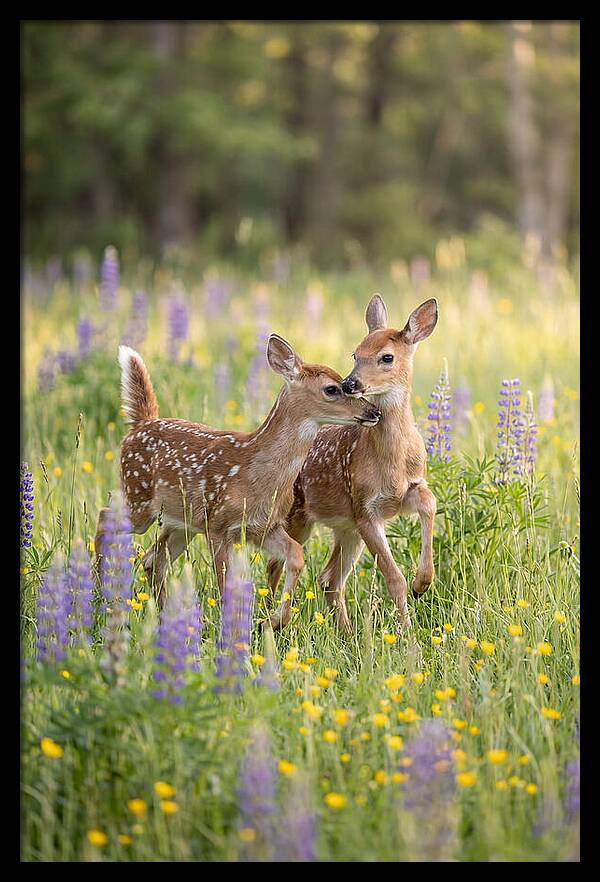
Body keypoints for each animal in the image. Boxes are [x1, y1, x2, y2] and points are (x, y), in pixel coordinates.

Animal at [94, 336, 381, 620]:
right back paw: (99, 591)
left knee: (152, 560)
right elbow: (226, 585)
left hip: (182, 523)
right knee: (106, 516)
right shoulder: (218, 526)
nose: (374, 412)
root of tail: (140, 425)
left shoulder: (264, 526)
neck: (255, 473)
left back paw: (164, 614)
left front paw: (275, 621)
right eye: (332, 389)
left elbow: (296, 555)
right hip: (139, 498)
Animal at [266, 295, 439, 633]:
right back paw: (267, 620)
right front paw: (409, 635)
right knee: (275, 565)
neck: (392, 462)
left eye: (387, 357)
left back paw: (346, 634)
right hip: (297, 517)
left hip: (345, 528)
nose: (350, 383)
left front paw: (423, 582)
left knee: (329, 579)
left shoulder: (404, 492)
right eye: (355, 353)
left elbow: (429, 502)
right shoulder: (364, 508)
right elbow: (393, 578)